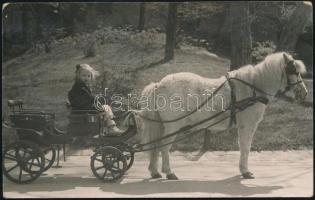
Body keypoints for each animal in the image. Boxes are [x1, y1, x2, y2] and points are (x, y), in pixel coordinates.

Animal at [126, 51, 308, 180]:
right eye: (294, 71)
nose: (304, 93)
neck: (253, 86)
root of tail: (158, 85)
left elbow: (243, 146)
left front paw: (243, 170)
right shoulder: (248, 125)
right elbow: (245, 146)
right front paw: (245, 171)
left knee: (156, 146)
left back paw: (155, 172)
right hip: (172, 125)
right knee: (164, 147)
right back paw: (169, 172)